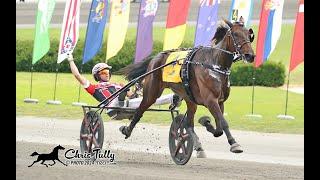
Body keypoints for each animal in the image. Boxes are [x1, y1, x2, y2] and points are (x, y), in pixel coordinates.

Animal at [119, 19, 255, 157]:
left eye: (249, 35)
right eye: (236, 34)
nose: (250, 55)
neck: (214, 64)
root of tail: (156, 56)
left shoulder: (220, 101)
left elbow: (219, 129)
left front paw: (206, 122)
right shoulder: (211, 100)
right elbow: (223, 123)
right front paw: (234, 144)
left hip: (189, 98)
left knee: (189, 124)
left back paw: (197, 145)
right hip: (152, 92)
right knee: (141, 109)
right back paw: (127, 130)